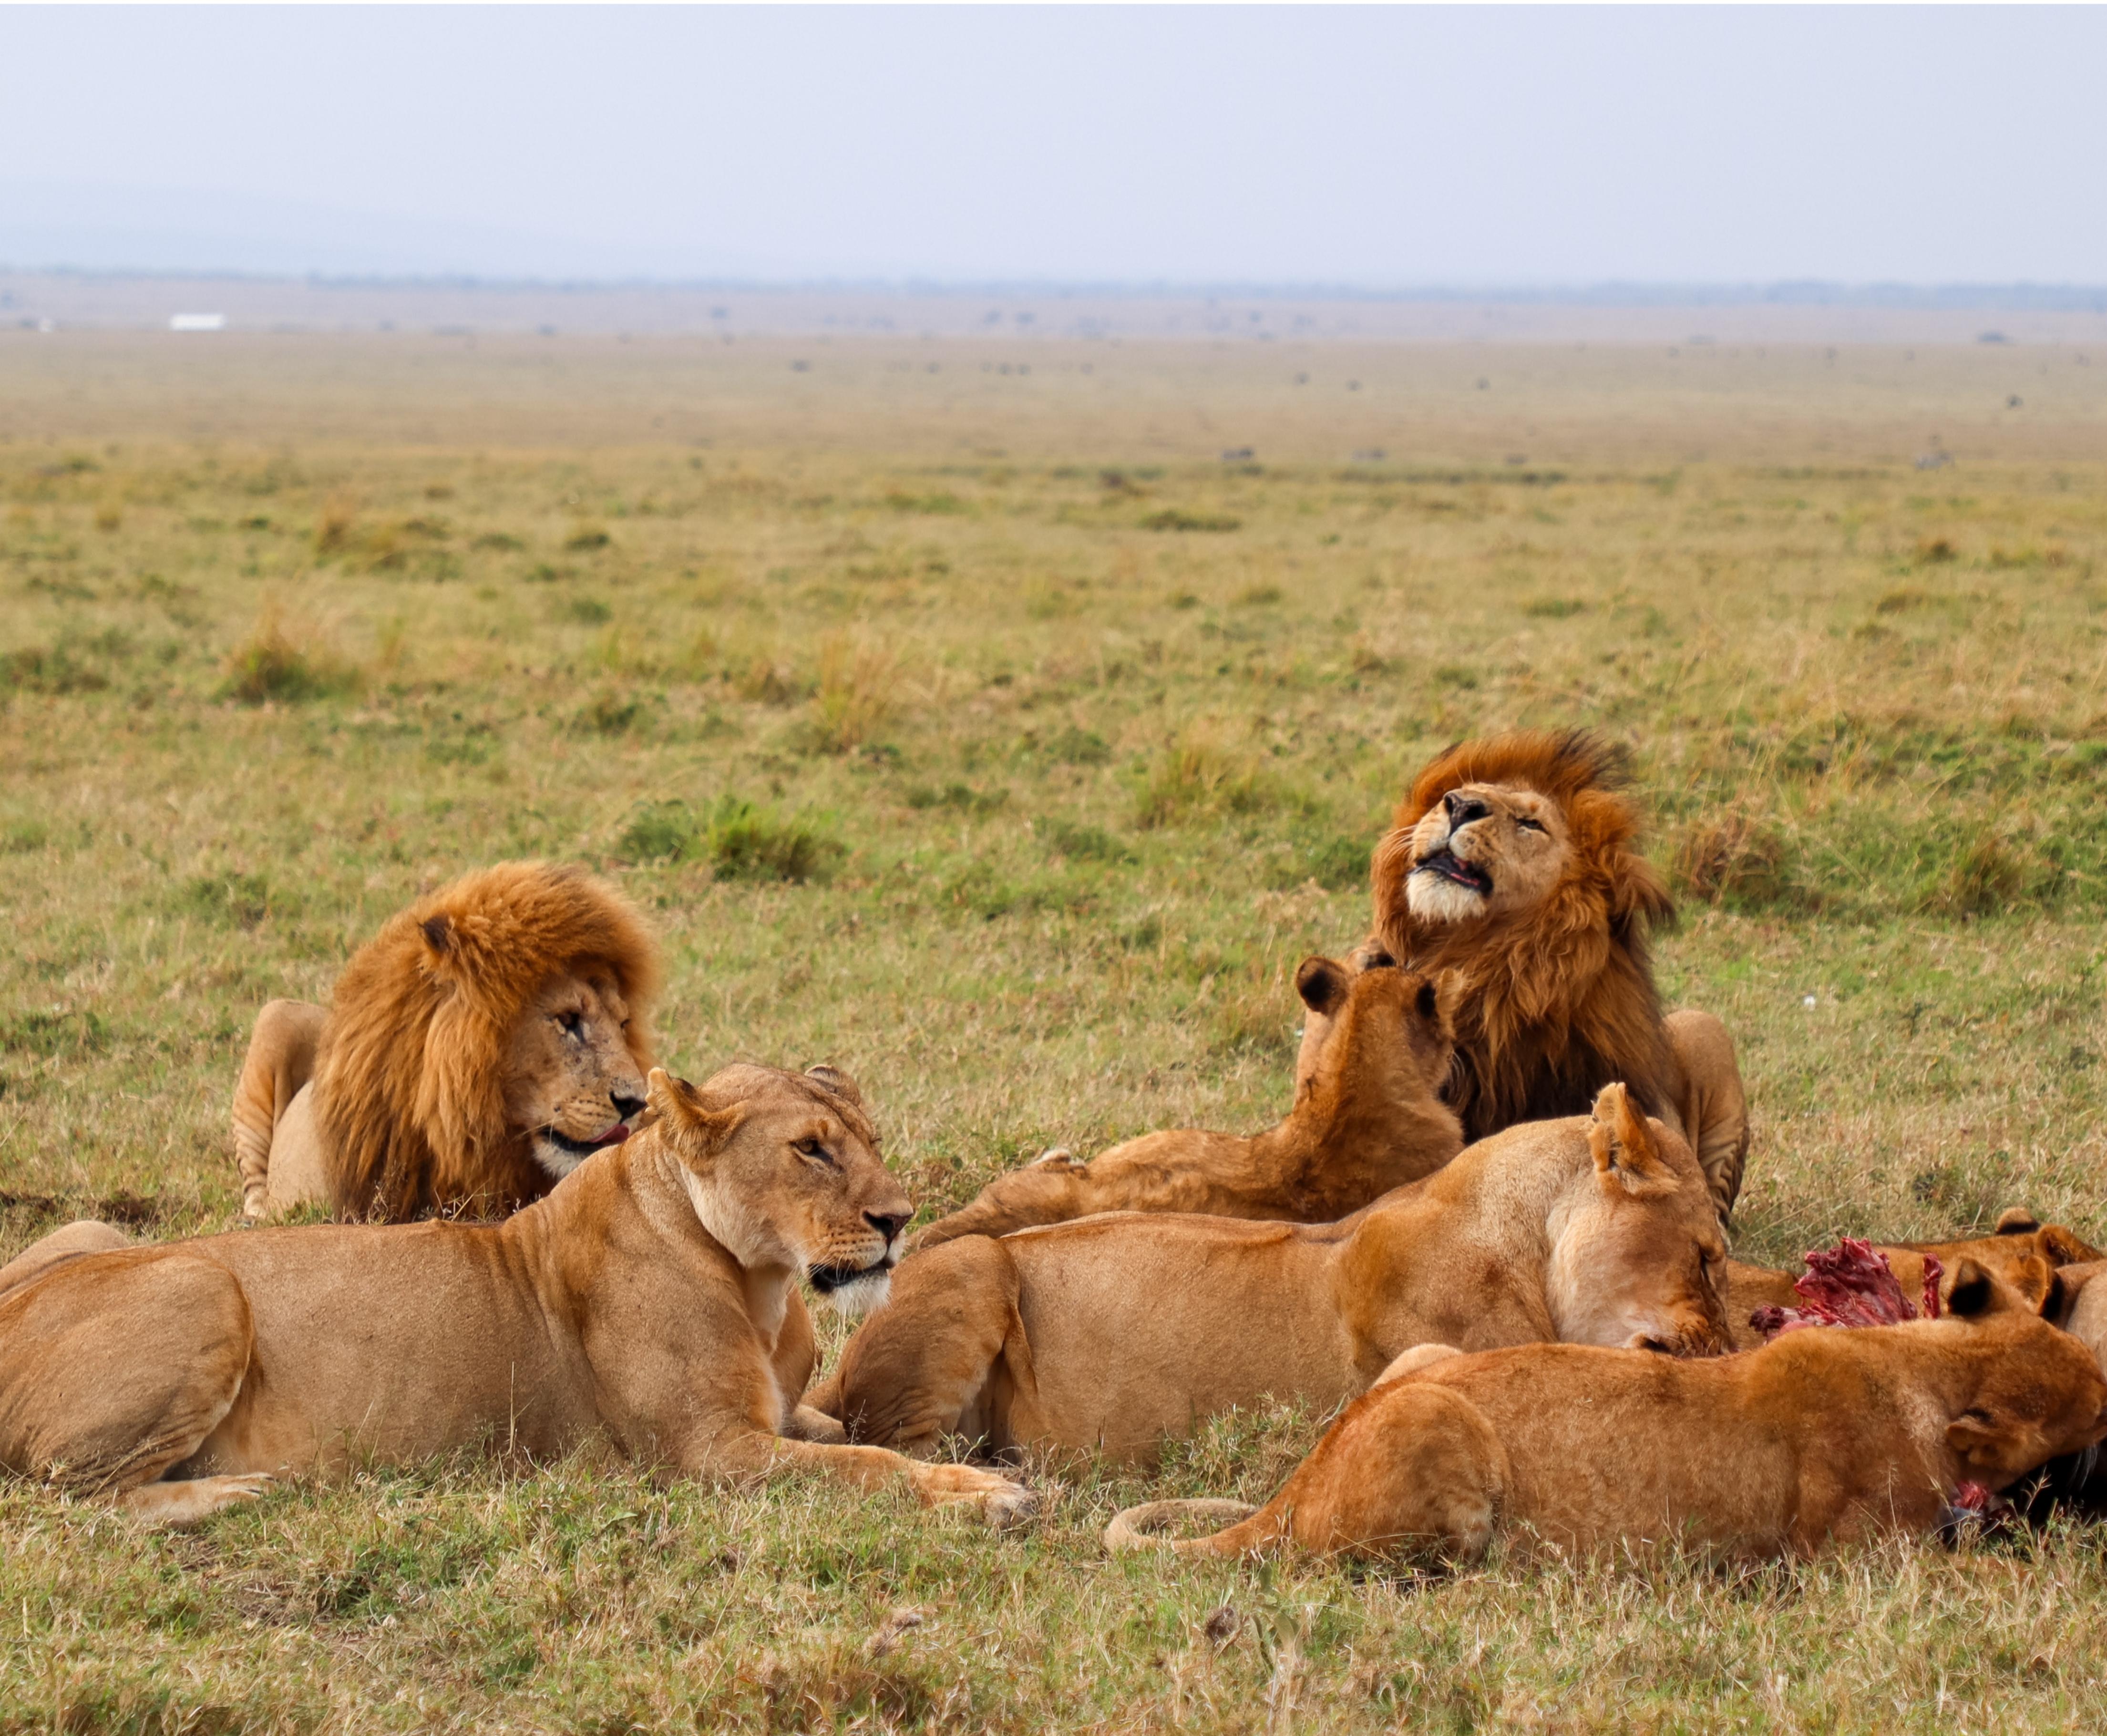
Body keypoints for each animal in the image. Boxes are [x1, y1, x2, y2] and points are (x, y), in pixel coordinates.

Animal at [0, 1062, 1034, 1529]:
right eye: (811, 1148)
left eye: (866, 1137)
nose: (899, 1218)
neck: (763, 1284)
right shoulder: (709, 1456)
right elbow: (864, 1466)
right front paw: (984, 1489)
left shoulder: (769, 1420)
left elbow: (846, 1429)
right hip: (204, 1278)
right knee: (67, 1499)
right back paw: (243, 1489)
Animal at [1107, 1264, 2107, 1563]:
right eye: (2099, 1414)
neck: (1924, 1364)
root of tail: (1296, 1486)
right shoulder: (1853, 1559)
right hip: (1436, 1416)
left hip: (1420, 1364)